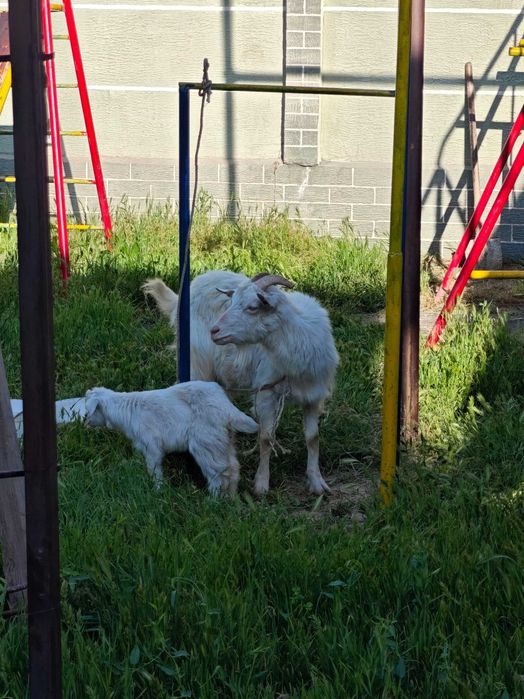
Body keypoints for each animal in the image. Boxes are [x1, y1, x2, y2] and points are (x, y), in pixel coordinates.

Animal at [84, 381, 258, 494]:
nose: (85, 422)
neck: (127, 410)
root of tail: (226, 408)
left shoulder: (151, 444)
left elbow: (154, 468)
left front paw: (157, 490)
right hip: (223, 441)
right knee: (233, 468)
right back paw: (231, 498)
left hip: (205, 441)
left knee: (219, 474)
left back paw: (213, 501)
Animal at [143, 271, 339, 495]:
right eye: (232, 301)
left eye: (253, 307)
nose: (215, 331)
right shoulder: (266, 393)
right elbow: (266, 438)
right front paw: (261, 484)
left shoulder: (314, 396)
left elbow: (313, 438)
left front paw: (317, 482)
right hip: (196, 363)